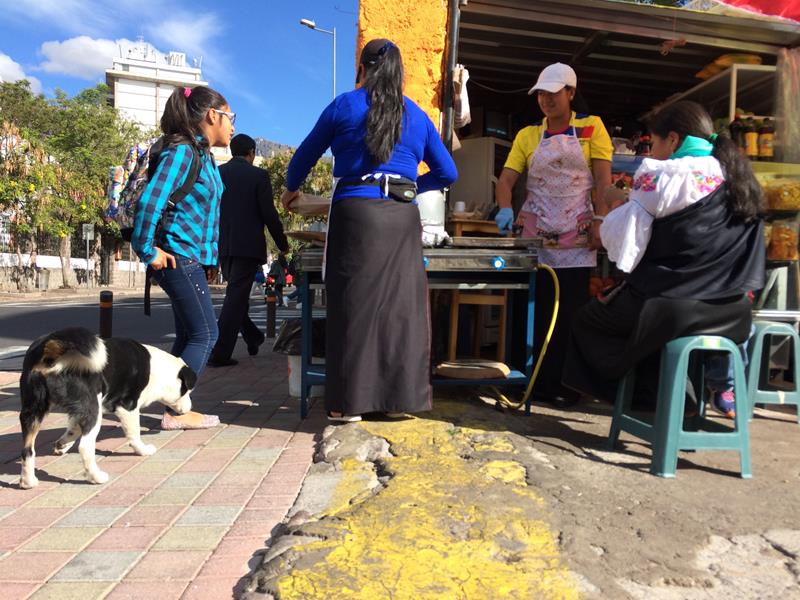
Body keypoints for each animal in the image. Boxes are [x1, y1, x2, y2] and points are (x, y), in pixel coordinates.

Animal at [19, 328, 197, 488]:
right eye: (187, 391)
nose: (189, 408)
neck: (156, 370)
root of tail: (52, 351)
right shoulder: (127, 406)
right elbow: (134, 434)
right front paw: (143, 450)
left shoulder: (79, 411)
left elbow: (72, 430)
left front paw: (62, 445)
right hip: (93, 410)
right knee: (85, 447)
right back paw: (96, 477)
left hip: (33, 410)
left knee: (27, 449)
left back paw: (28, 482)